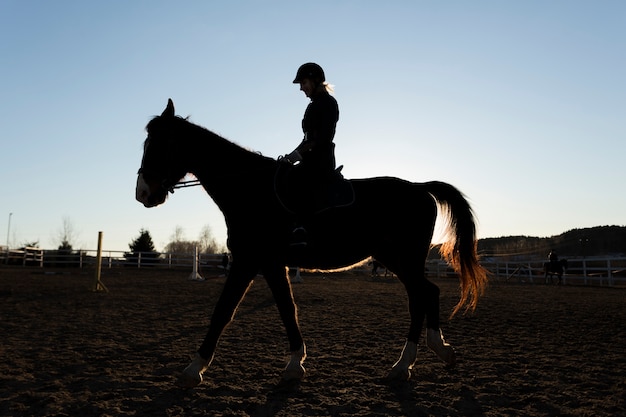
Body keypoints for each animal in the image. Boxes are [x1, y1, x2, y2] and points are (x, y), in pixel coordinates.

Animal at [135, 99, 488, 386]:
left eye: (159, 144)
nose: (143, 193)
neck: (249, 188)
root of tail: (419, 187)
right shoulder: (269, 263)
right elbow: (286, 309)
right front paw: (295, 363)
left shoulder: (249, 260)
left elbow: (223, 311)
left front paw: (193, 369)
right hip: (397, 259)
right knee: (425, 294)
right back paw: (430, 355)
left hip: (403, 259)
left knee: (422, 296)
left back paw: (407, 364)